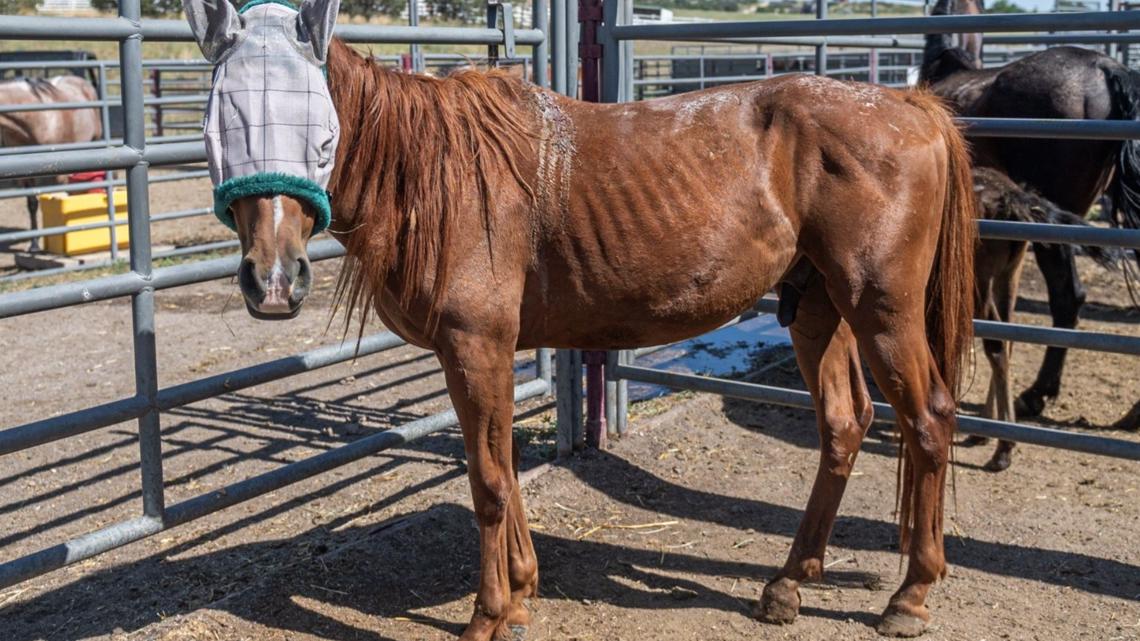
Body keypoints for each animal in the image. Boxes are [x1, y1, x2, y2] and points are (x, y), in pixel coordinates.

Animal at [185, 0, 976, 637]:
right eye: (216, 121)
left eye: (320, 130)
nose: (274, 279)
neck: (436, 172)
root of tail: (912, 108)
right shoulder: (478, 353)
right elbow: (502, 463)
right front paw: (523, 590)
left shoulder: (475, 346)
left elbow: (488, 480)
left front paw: (489, 615)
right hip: (817, 309)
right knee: (844, 423)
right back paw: (787, 584)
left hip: (881, 311)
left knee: (928, 420)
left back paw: (910, 595)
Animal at [970, 167, 1120, 471]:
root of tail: (1010, 196)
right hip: (1007, 276)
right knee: (1006, 338)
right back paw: (989, 429)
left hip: (983, 282)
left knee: (996, 346)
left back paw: (1003, 447)